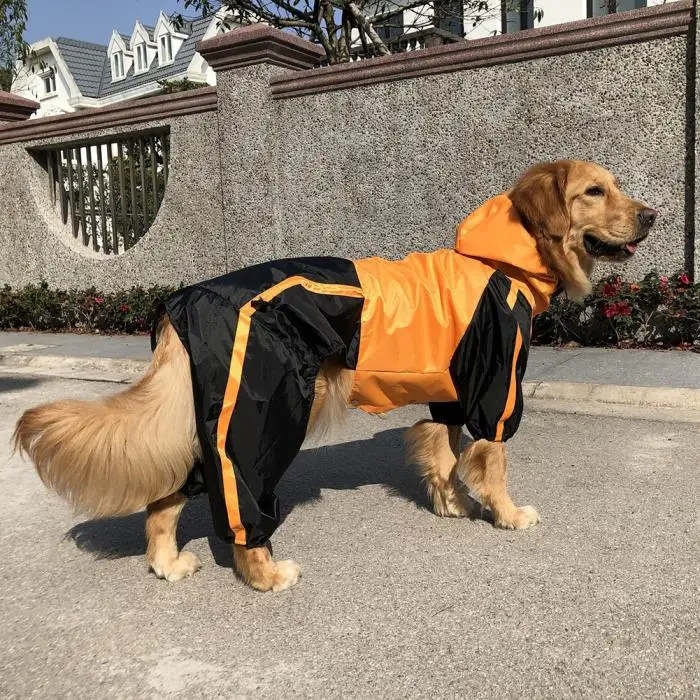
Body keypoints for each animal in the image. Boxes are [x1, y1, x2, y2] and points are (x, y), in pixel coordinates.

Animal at [10, 161, 656, 592]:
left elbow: (445, 456)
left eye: (616, 186)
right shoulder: (491, 389)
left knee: (164, 498)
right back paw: (264, 572)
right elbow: (489, 460)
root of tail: (184, 300)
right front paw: (506, 513)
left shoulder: (449, 396)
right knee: (238, 503)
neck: (502, 263)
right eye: (595, 191)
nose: (653, 215)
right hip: (261, 413)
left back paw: (167, 562)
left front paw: (452, 505)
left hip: (204, 417)